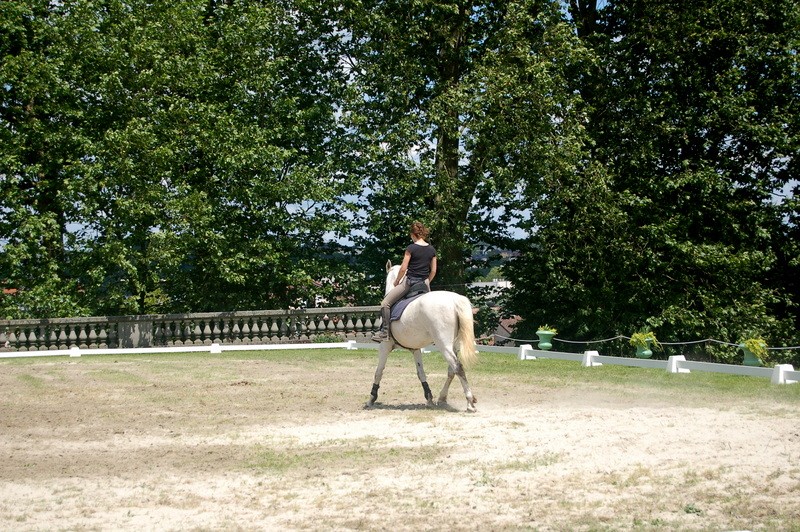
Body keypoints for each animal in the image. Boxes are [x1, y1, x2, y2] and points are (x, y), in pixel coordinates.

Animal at [366, 260, 478, 414]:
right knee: (451, 370)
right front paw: (429, 398)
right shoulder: (415, 349)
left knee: (457, 367)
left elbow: (379, 371)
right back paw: (442, 398)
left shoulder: (385, 346)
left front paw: (371, 398)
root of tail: (455, 300)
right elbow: (421, 373)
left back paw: (470, 402)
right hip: (454, 345)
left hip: (443, 344)